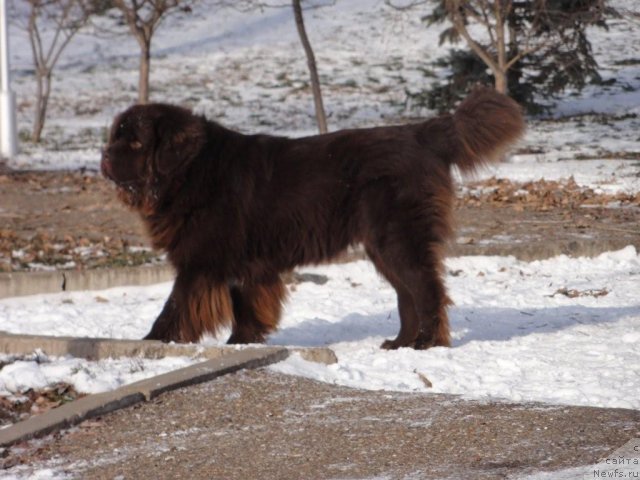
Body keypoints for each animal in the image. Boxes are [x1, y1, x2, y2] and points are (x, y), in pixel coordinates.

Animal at [102, 87, 524, 348]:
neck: (190, 172)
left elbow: (175, 306)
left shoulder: (201, 260)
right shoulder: (241, 264)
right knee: (408, 294)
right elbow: (245, 304)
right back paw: (400, 343)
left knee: (427, 290)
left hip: (398, 238)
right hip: (382, 246)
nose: (103, 157)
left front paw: (153, 343)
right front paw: (243, 342)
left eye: (135, 142)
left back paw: (426, 343)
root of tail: (420, 133)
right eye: (113, 136)